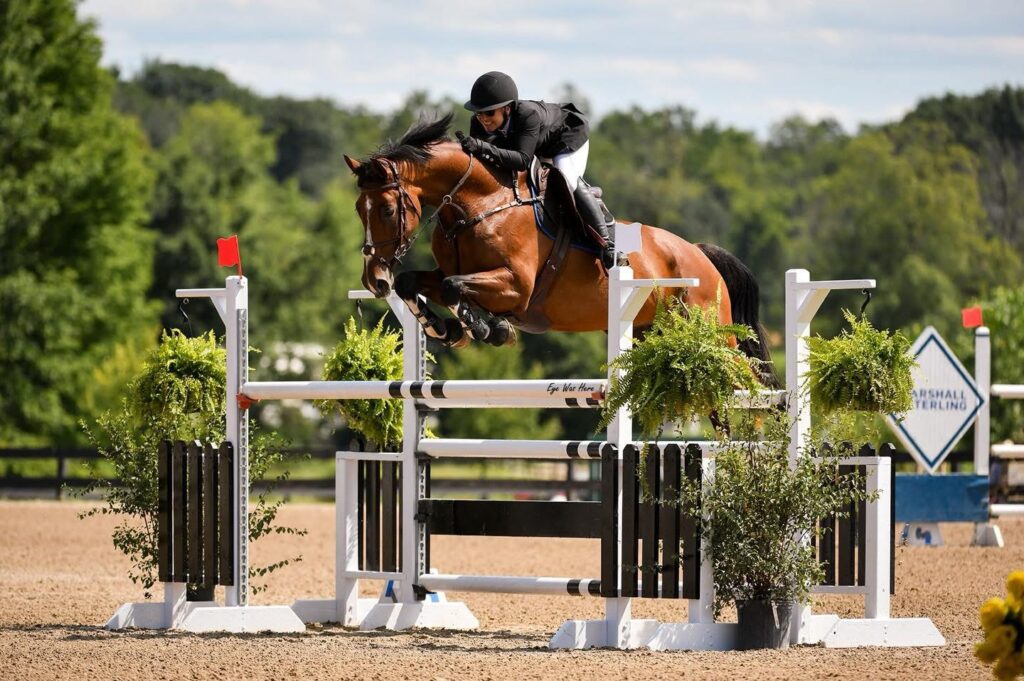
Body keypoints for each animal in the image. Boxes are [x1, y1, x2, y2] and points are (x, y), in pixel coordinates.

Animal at [344, 113, 775, 381]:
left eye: (386, 209)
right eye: (357, 209)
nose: (373, 280)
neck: (479, 205)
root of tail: (701, 255)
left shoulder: (516, 286)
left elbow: (455, 289)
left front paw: (488, 327)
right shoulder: (448, 272)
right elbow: (416, 283)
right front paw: (446, 329)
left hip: (714, 337)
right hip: (646, 332)